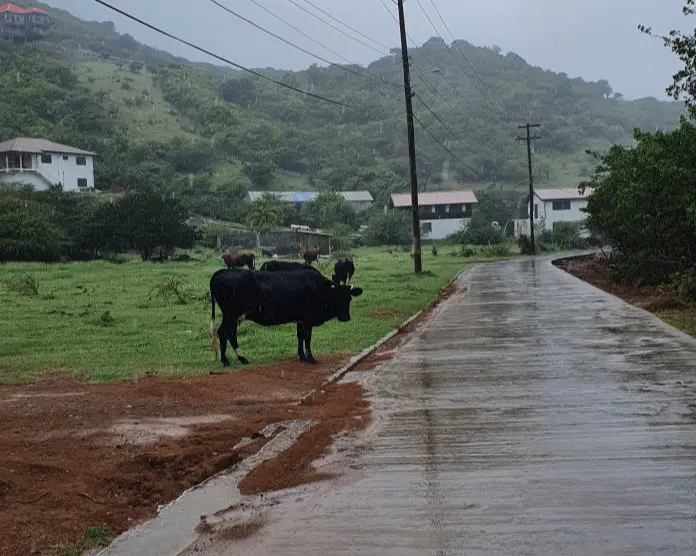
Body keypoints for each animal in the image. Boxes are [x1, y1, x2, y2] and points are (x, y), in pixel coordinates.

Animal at [209, 268, 364, 368]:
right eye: (336, 298)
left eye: (349, 299)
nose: (345, 317)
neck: (319, 289)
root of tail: (219, 272)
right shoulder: (307, 320)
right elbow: (307, 338)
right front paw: (310, 358)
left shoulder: (300, 320)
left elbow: (300, 337)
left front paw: (302, 356)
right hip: (230, 315)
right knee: (223, 332)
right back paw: (226, 361)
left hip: (234, 317)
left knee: (230, 334)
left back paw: (241, 359)